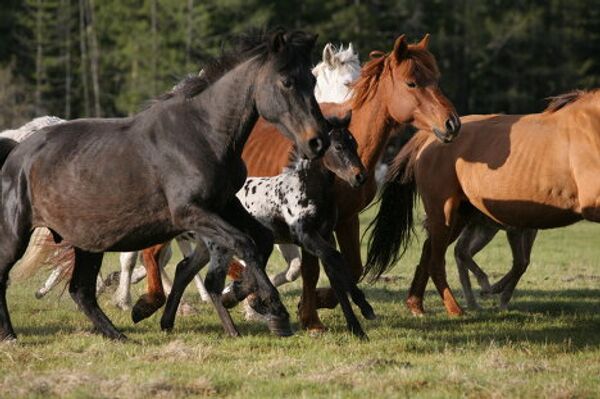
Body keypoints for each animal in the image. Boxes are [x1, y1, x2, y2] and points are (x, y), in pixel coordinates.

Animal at [0, 29, 332, 342]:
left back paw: (118, 336)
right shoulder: (189, 212)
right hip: (16, 234)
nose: (318, 142)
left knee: (81, 290)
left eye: (313, 81)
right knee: (6, 274)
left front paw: (240, 295)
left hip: (89, 242)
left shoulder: (225, 205)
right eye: (287, 81)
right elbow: (243, 243)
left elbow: (259, 240)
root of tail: (17, 152)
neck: (203, 134)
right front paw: (274, 310)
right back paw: (10, 336)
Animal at [364, 89, 600, 318]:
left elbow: (521, 262)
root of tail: (430, 135)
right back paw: (456, 308)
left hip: (460, 216)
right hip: (444, 212)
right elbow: (520, 262)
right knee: (438, 259)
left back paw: (417, 305)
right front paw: (493, 291)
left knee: (432, 250)